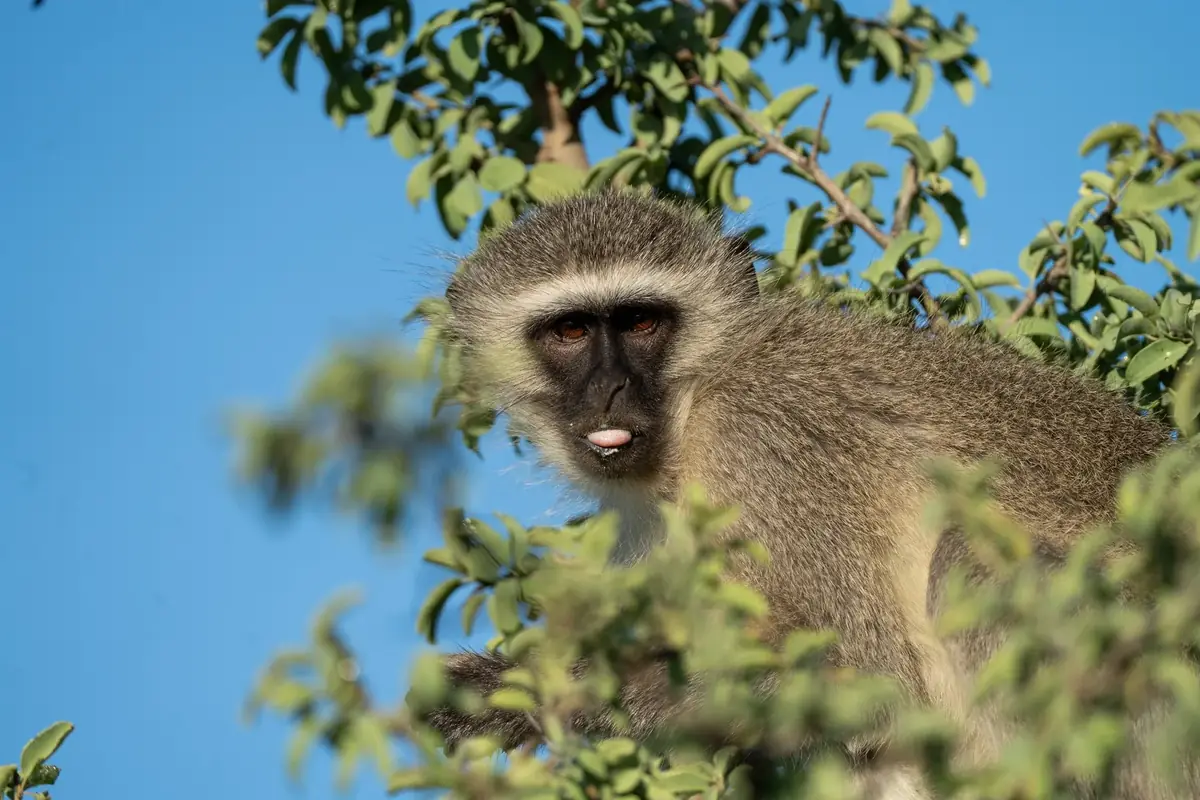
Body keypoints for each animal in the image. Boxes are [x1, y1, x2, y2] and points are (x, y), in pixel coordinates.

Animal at [427, 189, 1180, 797]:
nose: (609, 388)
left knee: (972, 558)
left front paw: (527, 688)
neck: (695, 404)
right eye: (570, 330)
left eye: (641, 322)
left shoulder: (767, 442)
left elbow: (873, 681)